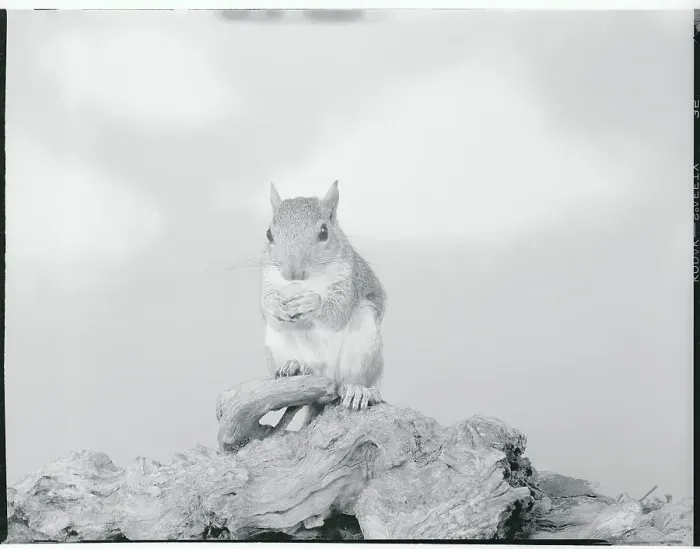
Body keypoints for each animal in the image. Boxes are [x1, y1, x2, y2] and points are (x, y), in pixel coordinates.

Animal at [260, 180, 386, 414]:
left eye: (324, 232)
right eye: (269, 234)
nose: (292, 273)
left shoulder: (348, 278)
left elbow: (338, 314)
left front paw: (311, 303)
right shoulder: (267, 278)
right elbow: (269, 314)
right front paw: (272, 305)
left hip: (364, 344)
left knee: (348, 382)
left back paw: (356, 389)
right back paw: (295, 366)